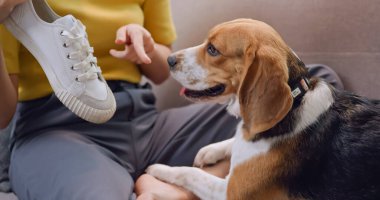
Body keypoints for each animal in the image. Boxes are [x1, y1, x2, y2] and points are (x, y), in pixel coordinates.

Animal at [146, 18, 380, 200]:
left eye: (212, 49)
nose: (169, 59)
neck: (295, 99)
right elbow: (234, 140)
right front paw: (211, 150)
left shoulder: (229, 190)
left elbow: (189, 173)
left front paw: (160, 169)